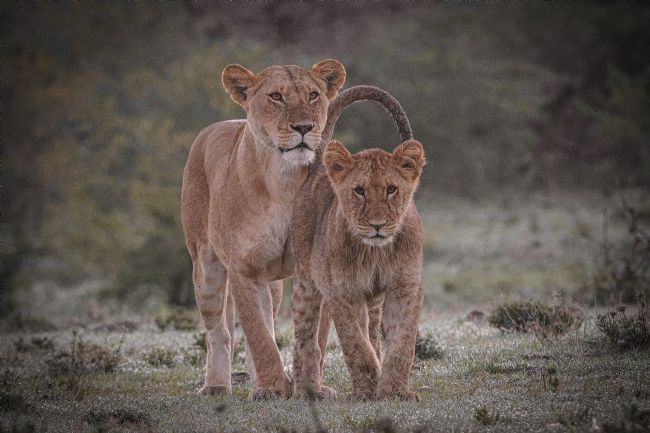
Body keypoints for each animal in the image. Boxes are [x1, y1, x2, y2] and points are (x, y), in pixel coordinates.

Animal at [181, 60, 346, 400]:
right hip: (205, 266)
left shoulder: (318, 266)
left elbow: (314, 337)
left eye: (313, 95)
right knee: (221, 332)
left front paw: (313, 388)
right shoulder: (244, 268)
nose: (304, 128)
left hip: (273, 284)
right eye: (276, 97)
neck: (283, 181)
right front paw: (271, 388)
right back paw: (217, 385)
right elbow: (258, 335)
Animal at [291, 88, 425, 401]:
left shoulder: (405, 287)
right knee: (306, 337)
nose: (377, 225)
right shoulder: (343, 292)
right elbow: (355, 345)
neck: (375, 251)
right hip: (306, 281)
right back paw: (308, 390)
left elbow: (402, 343)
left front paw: (395, 391)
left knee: (372, 331)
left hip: (373, 300)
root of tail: (318, 166)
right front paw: (366, 388)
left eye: (391, 189)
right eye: (359, 191)